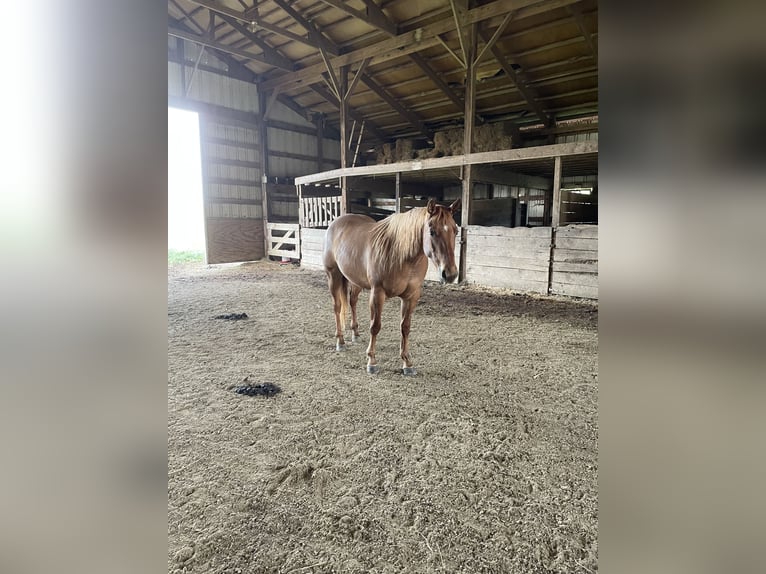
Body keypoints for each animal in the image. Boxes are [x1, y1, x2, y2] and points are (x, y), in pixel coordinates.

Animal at [323, 198, 461, 375]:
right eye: (431, 231)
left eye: (455, 231)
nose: (450, 274)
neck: (400, 254)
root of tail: (336, 223)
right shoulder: (377, 293)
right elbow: (375, 326)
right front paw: (372, 361)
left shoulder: (411, 296)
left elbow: (405, 327)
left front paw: (407, 363)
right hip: (333, 276)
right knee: (338, 307)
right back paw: (340, 342)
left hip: (355, 280)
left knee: (352, 302)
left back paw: (355, 334)